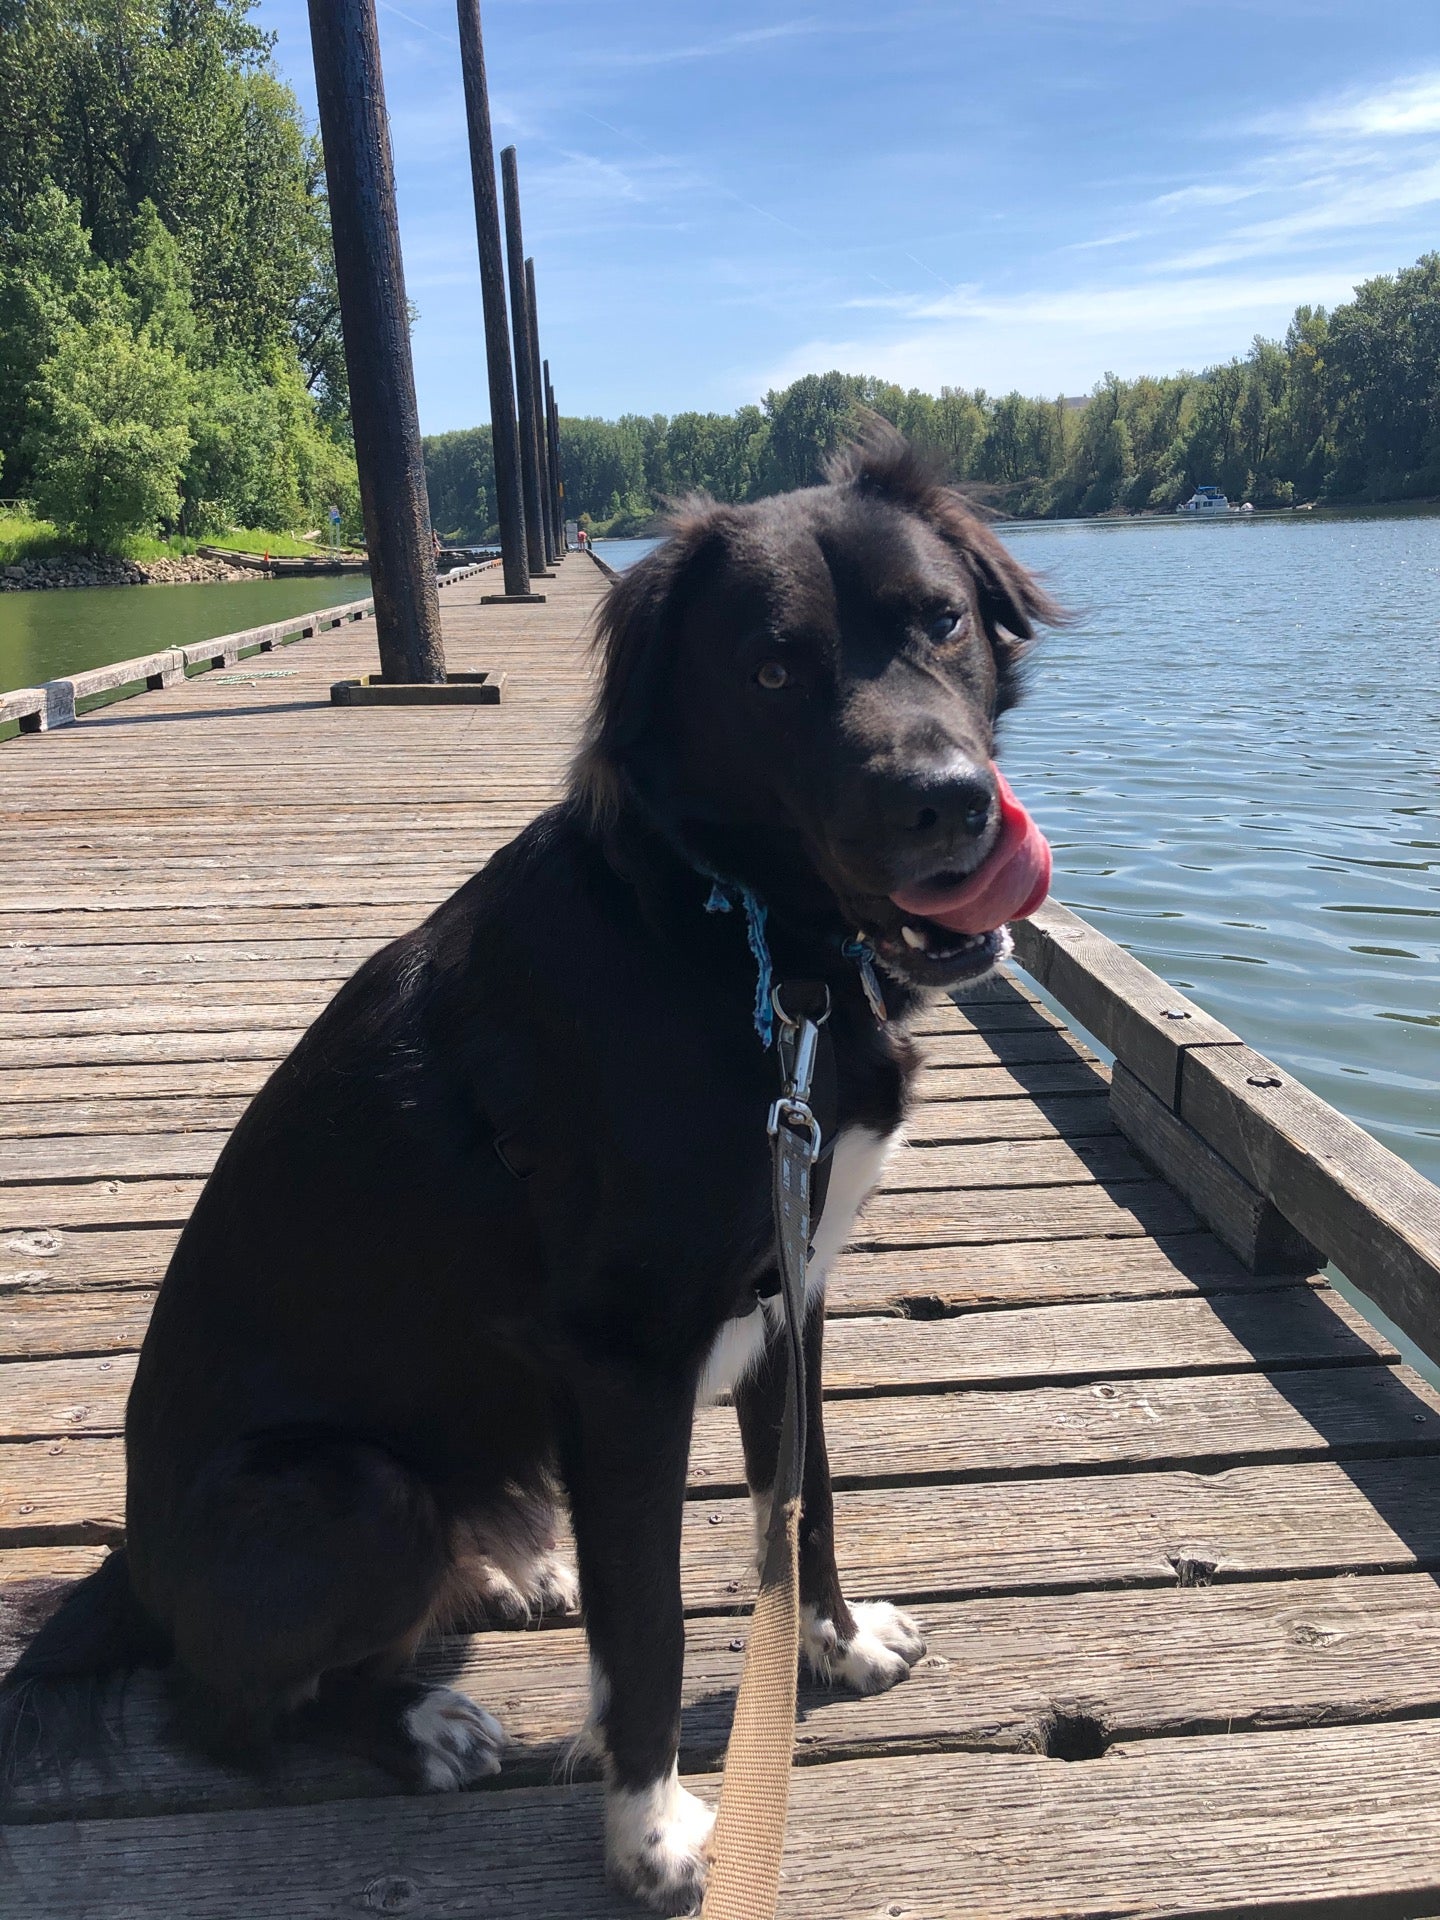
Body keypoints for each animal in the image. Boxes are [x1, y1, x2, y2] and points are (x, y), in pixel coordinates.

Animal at [0, 428, 1059, 1912]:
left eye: (943, 621)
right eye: (771, 670)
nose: (948, 803)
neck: (750, 947)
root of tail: (132, 1571)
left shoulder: (793, 1289)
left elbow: (804, 1508)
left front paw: (834, 1649)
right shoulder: (624, 1361)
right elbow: (655, 1617)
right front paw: (651, 1835)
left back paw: (509, 1576)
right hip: (355, 1491)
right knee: (225, 1709)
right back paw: (417, 1721)